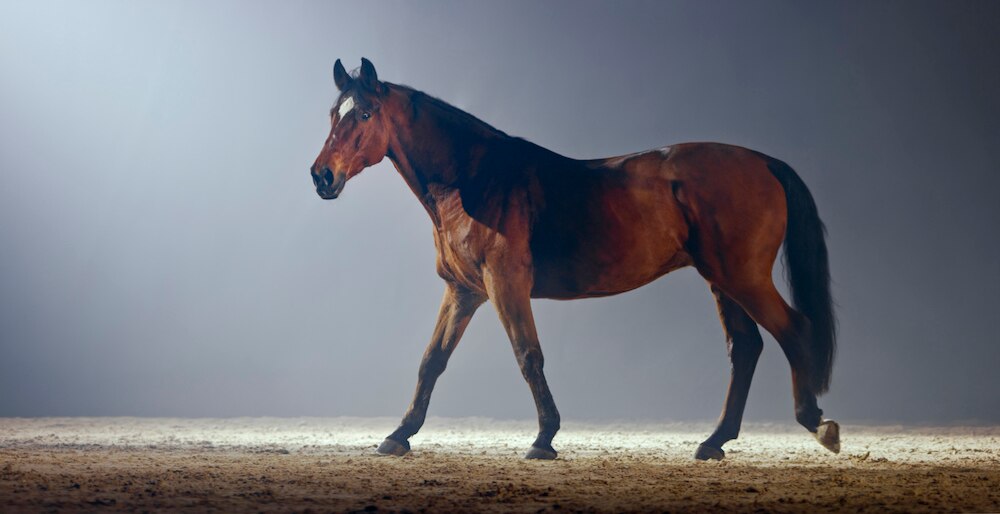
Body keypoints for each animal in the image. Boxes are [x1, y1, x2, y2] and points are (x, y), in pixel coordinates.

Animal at [310, 58, 839, 461]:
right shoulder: (463, 292)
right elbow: (431, 360)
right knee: (745, 348)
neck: (473, 179)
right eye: (334, 113)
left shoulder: (505, 285)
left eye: (365, 113)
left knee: (794, 329)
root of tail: (763, 161)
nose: (322, 177)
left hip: (743, 277)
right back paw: (714, 442)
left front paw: (544, 439)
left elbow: (528, 356)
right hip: (722, 281)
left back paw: (817, 424)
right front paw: (398, 435)